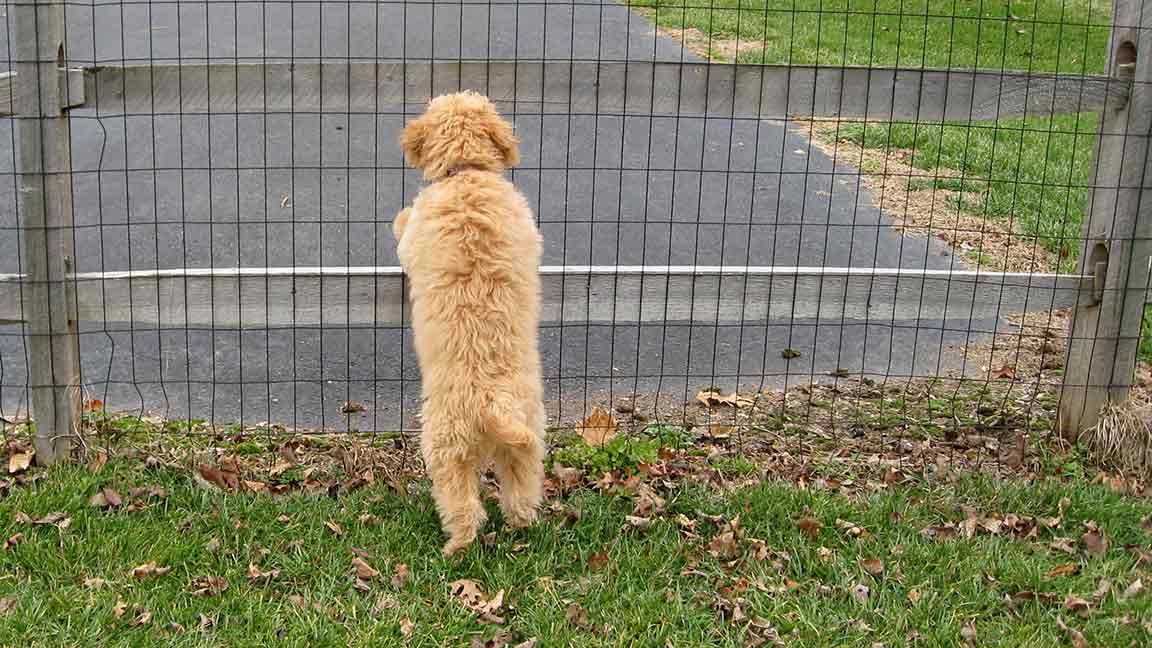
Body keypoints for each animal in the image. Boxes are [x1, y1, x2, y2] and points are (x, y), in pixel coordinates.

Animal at [393, 91, 546, 555]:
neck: (467, 173)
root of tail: (495, 403)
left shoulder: (413, 237)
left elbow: (403, 229)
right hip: (528, 441)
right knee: (521, 495)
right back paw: (520, 529)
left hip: (446, 445)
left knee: (463, 506)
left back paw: (454, 548)